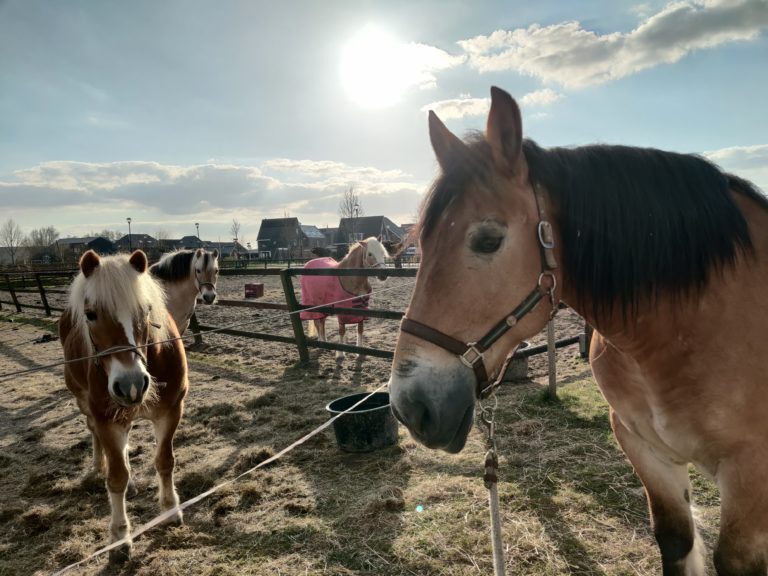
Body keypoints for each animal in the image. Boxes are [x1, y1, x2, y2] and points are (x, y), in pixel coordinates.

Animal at [58, 250, 188, 560]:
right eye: (91, 314)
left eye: (145, 311)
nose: (131, 384)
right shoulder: (107, 420)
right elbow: (116, 477)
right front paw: (119, 537)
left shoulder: (170, 412)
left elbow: (165, 461)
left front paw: (170, 510)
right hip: (86, 405)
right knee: (94, 433)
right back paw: (97, 465)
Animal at [390, 86, 768, 576]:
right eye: (420, 243)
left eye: (488, 240)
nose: (409, 406)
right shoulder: (645, 449)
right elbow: (676, 540)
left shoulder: (750, 473)